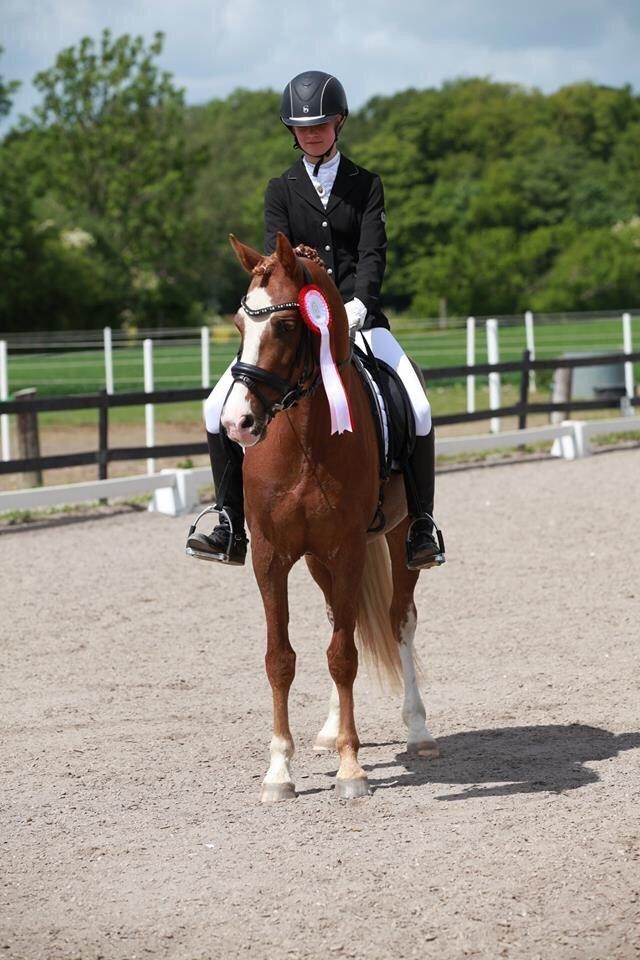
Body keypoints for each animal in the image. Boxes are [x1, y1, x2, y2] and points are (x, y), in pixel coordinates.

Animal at [221, 231, 440, 801]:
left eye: (285, 325)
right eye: (240, 323)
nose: (237, 422)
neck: (303, 437)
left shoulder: (346, 549)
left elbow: (343, 656)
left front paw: (351, 769)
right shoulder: (272, 557)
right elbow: (281, 659)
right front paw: (279, 772)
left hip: (394, 539)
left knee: (398, 620)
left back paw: (417, 730)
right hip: (319, 559)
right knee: (339, 623)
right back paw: (328, 729)